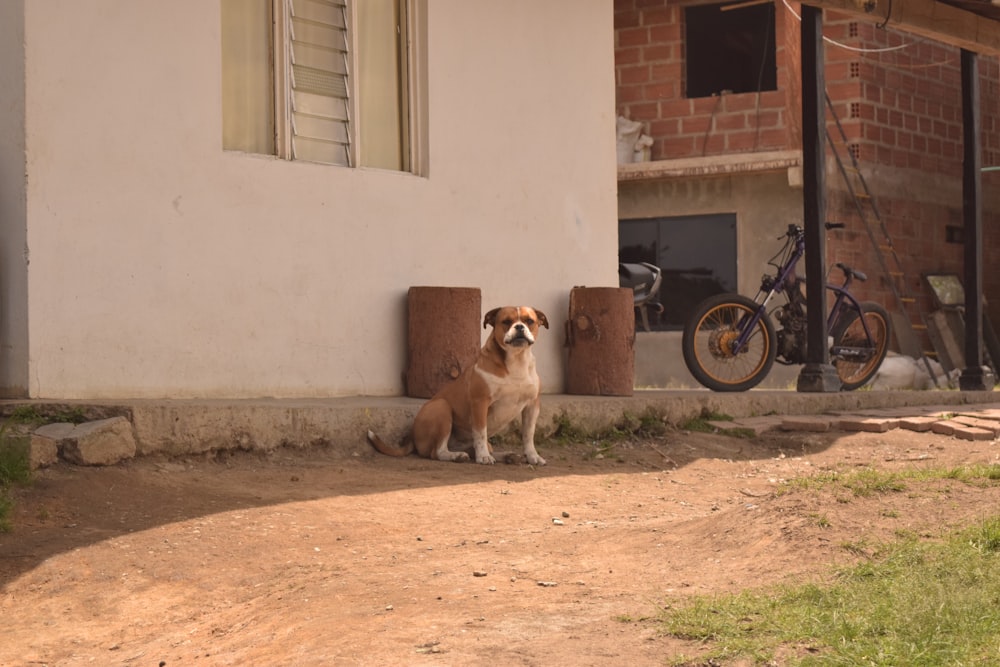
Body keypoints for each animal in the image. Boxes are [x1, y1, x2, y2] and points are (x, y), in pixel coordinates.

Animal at [368, 306, 548, 464]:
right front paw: (483, 457)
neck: (516, 359)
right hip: (441, 408)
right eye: (506, 321)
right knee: (437, 452)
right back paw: (457, 456)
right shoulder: (480, 402)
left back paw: (509, 456)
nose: (519, 326)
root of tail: (412, 435)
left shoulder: (532, 405)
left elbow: (528, 435)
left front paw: (533, 456)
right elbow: (480, 432)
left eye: (529, 321)